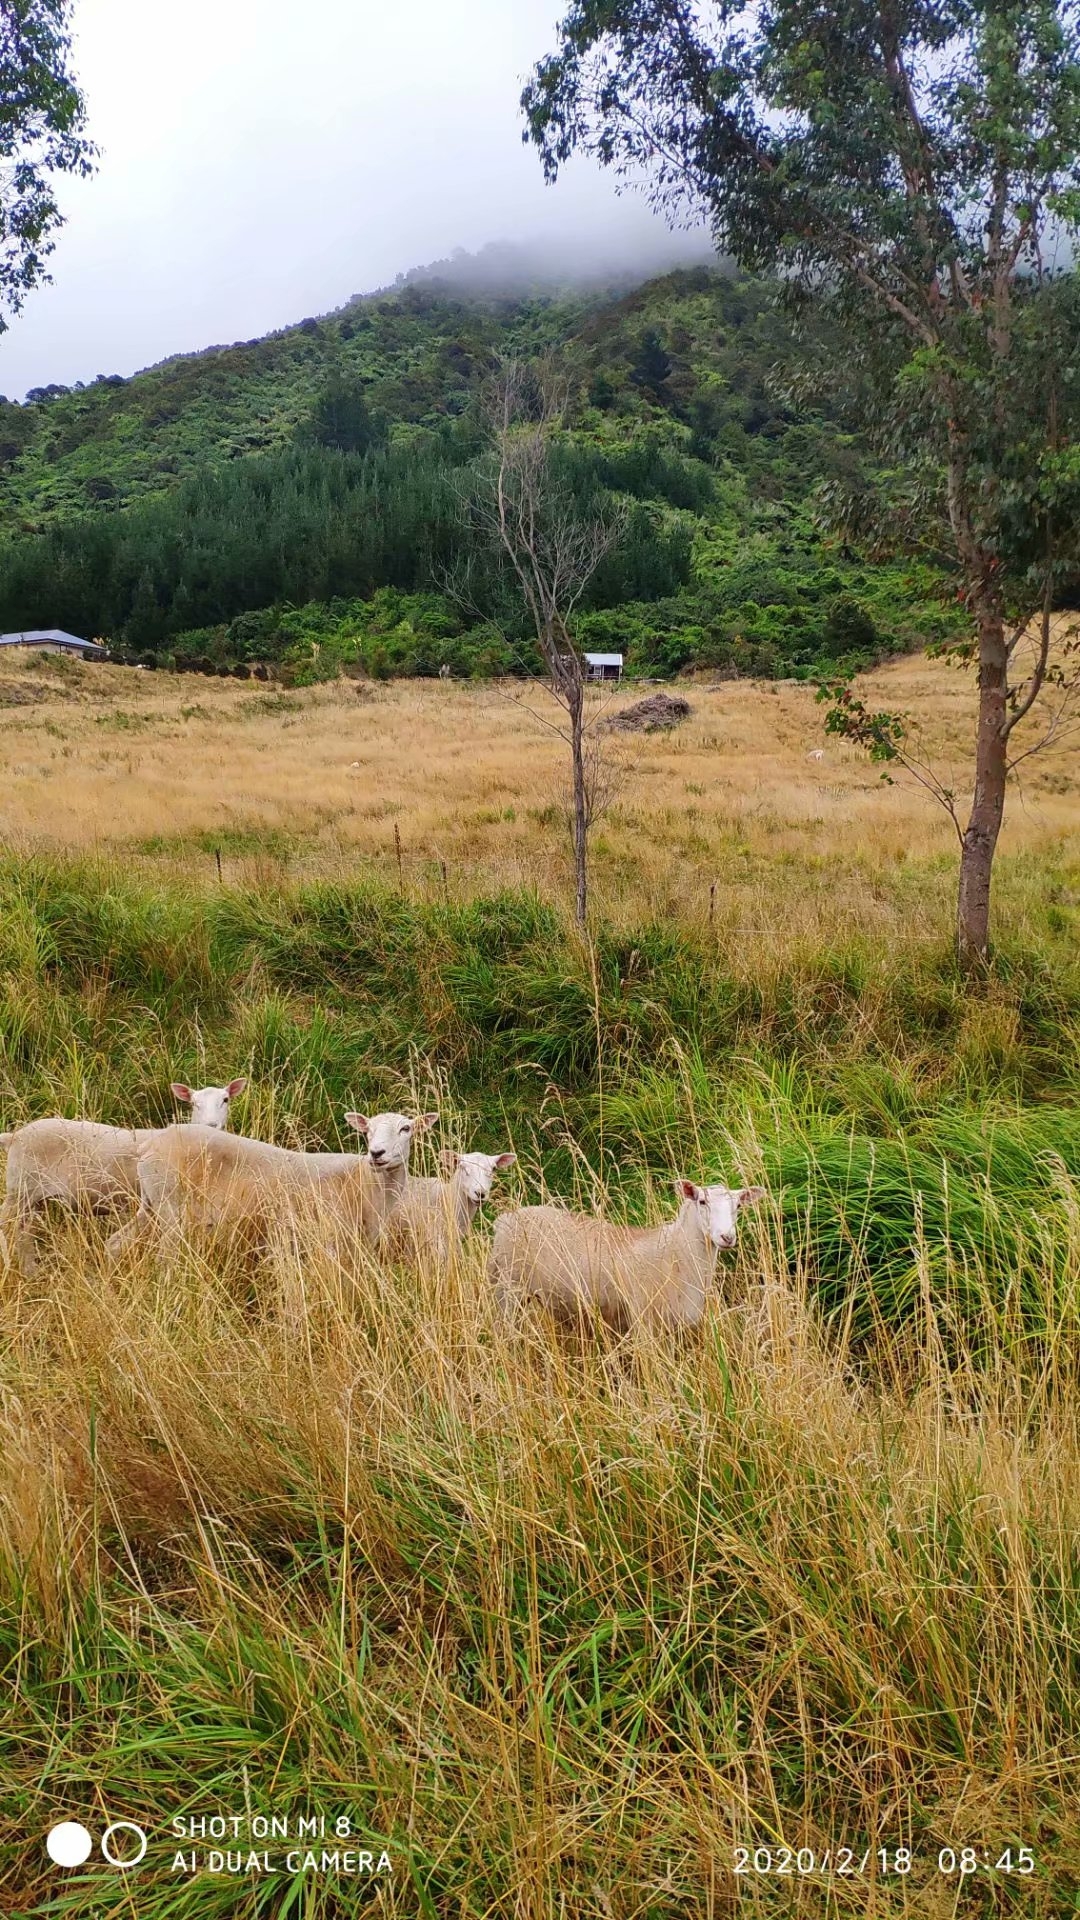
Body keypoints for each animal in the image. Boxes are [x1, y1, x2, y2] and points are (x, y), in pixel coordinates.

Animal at [0, 1082, 245, 1274]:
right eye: (194, 1103)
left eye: (225, 1100)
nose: (212, 1125)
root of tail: (13, 1136)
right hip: (19, 1189)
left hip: (33, 1197)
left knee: (24, 1231)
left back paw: (30, 1271)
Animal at [110, 1113, 441, 1259]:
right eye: (367, 1129)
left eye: (406, 1128)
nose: (376, 1153)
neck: (363, 1182)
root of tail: (151, 1143)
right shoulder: (329, 1240)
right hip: (170, 1207)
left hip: (150, 1204)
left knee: (115, 1242)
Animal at [484, 1175, 760, 1328]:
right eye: (702, 1201)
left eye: (738, 1206)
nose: (727, 1237)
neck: (676, 1250)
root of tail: (504, 1219)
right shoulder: (643, 1322)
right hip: (506, 1290)